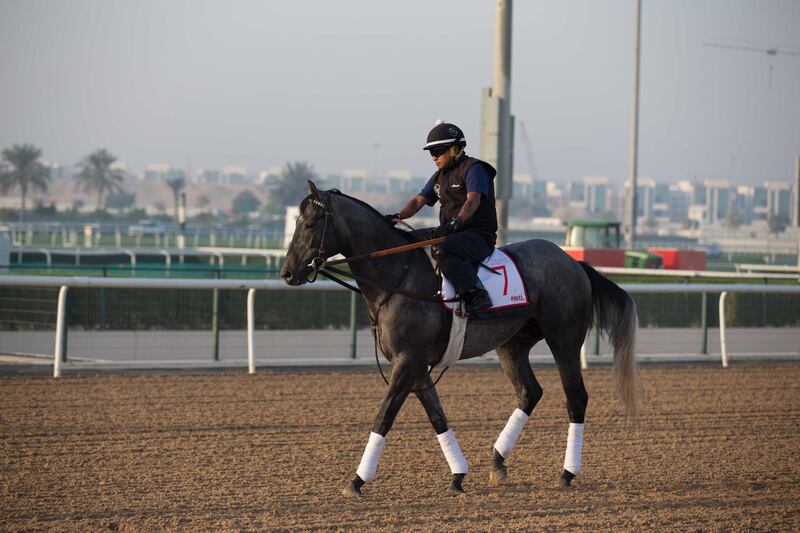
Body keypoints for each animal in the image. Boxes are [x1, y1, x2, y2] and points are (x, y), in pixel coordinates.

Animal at [282, 183, 644, 494]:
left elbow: (384, 416)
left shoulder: (407, 362)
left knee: (576, 398)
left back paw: (568, 472)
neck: (399, 275)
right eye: (296, 222)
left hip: (564, 339)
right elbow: (436, 416)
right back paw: (497, 461)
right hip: (511, 345)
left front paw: (357, 480)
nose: (287, 273)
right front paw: (458, 474)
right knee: (530, 392)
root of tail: (574, 263)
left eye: (310, 223)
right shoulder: (417, 366)